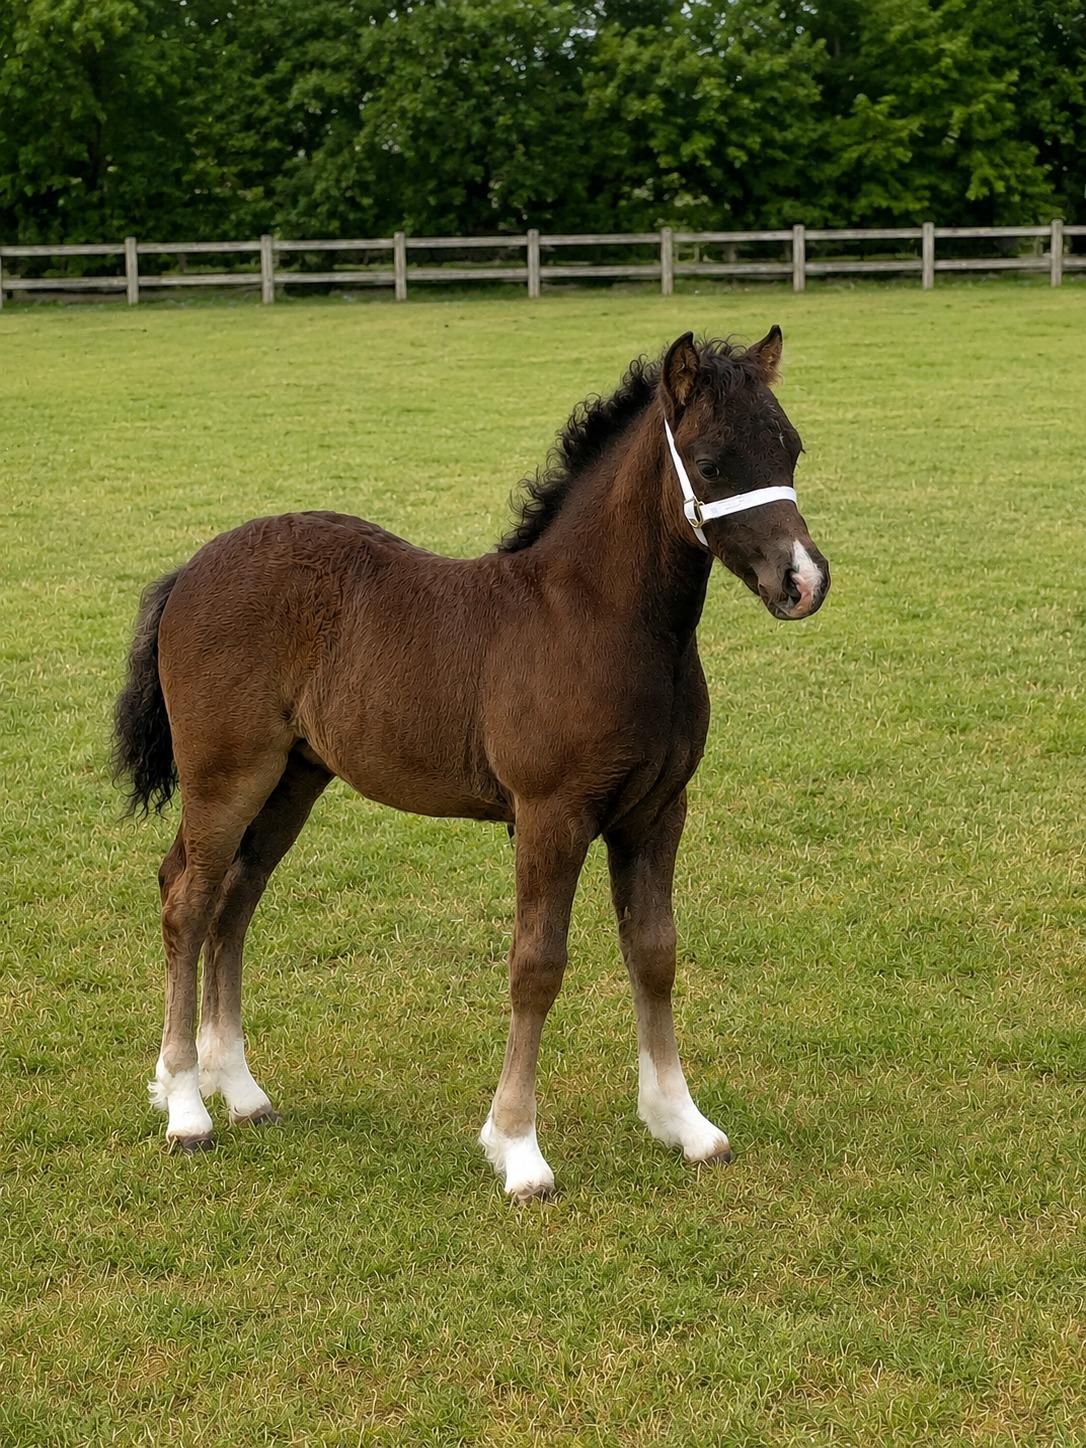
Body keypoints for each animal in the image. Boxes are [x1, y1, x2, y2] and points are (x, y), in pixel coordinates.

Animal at [113, 328, 829, 1202]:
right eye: (715, 460)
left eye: (790, 447)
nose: (804, 581)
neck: (598, 621)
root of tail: (191, 570)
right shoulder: (551, 816)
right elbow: (537, 966)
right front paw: (518, 1149)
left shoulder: (657, 812)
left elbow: (654, 953)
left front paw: (682, 1124)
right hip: (227, 777)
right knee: (188, 900)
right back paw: (187, 1108)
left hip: (292, 780)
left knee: (234, 901)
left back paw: (240, 1091)